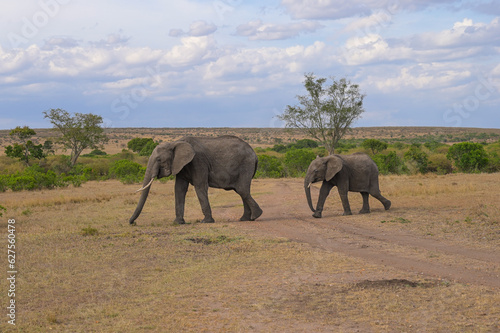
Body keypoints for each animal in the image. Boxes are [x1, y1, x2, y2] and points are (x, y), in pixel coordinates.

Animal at [128, 136, 262, 224]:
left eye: (159, 160)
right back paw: (245, 219)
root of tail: (255, 154)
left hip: (245, 165)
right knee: (242, 191)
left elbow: (200, 186)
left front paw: (206, 221)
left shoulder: (198, 161)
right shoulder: (181, 165)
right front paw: (178, 222)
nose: (132, 223)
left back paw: (255, 216)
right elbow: (179, 189)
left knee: (242, 190)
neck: (174, 143)